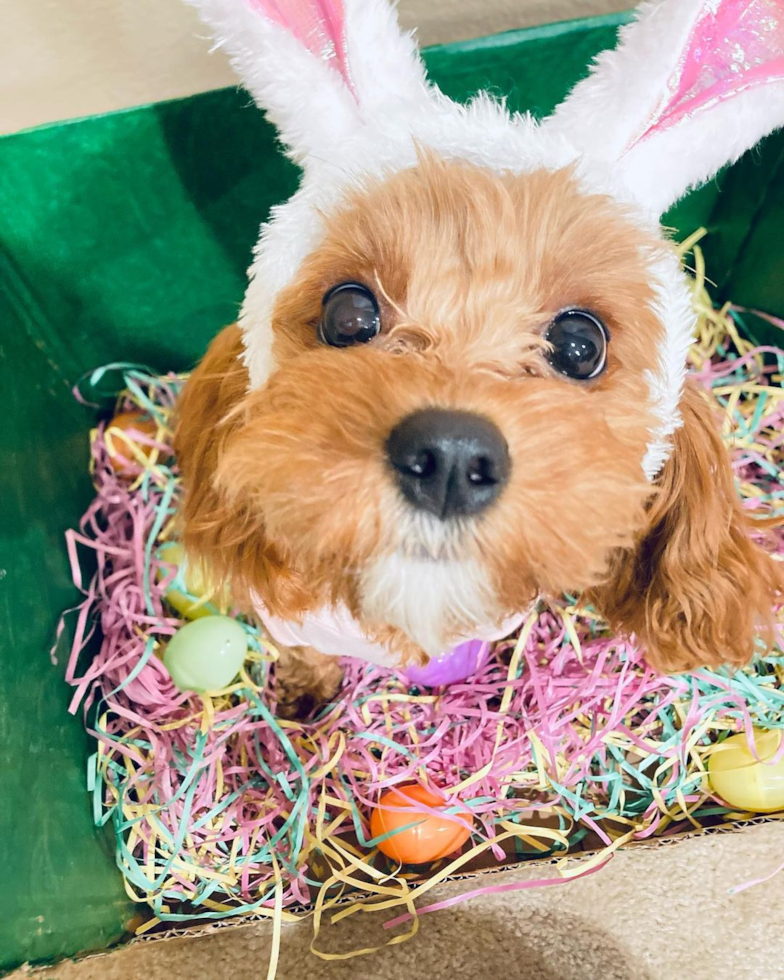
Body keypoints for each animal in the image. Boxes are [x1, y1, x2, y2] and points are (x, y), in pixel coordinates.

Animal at [173, 0, 784, 712]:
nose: (450, 456)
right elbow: (302, 647)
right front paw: (306, 691)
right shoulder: (290, 615)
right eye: (347, 314)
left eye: (581, 347)